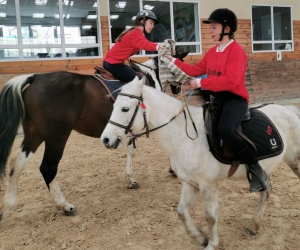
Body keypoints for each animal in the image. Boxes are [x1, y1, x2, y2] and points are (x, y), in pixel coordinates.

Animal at [100, 76, 300, 250]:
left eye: (125, 109)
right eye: (114, 106)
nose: (106, 139)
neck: (184, 134)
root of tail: (289, 110)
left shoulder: (208, 185)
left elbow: (211, 217)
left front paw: (212, 244)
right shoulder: (190, 183)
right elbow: (181, 212)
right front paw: (200, 238)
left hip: (295, 160)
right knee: (266, 190)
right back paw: (254, 225)